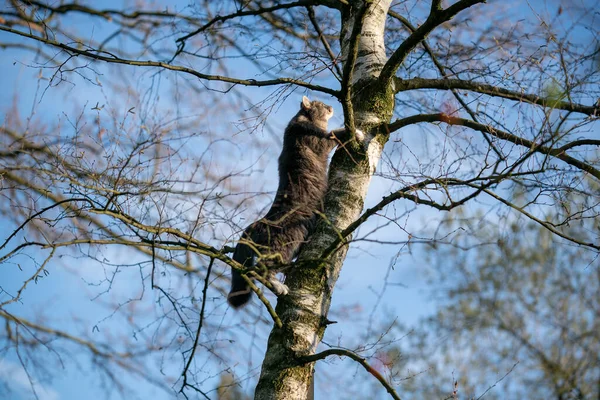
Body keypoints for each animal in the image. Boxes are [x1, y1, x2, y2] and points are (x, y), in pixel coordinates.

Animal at [227, 95, 364, 308]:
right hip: (290, 239)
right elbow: (336, 133)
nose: (331, 106)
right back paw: (278, 285)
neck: (301, 122)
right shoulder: (319, 141)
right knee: (261, 269)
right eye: (321, 104)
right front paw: (356, 132)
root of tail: (258, 223)